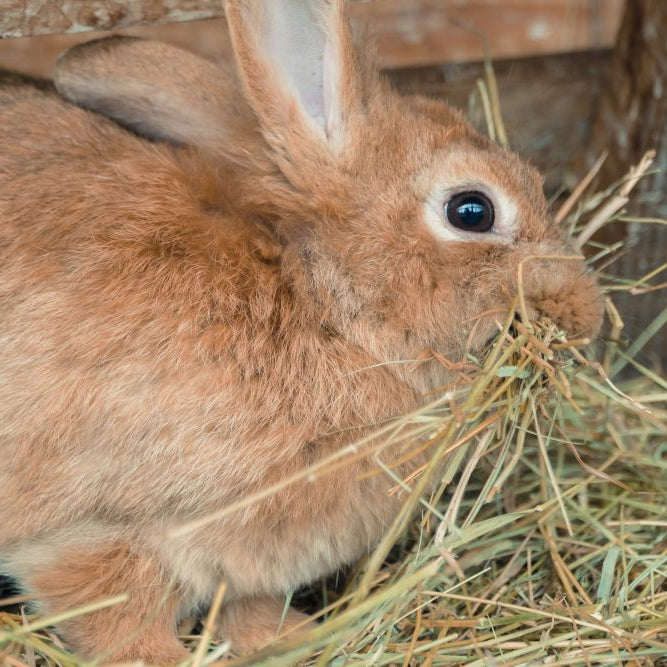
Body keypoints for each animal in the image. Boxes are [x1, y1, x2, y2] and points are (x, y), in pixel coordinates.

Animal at [0, 0, 604, 663]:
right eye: (472, 210)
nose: (588, 315)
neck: (329, 309)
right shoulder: (94, 535)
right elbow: (122, 626)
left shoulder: (239, 572)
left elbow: (249, 611)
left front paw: (294, 639)